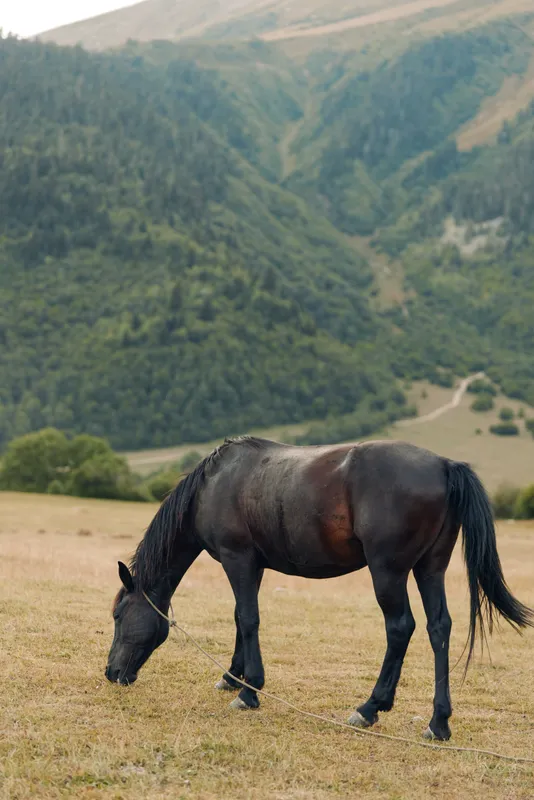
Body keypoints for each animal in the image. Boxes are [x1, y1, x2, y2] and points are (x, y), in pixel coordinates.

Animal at [105, 436, 533, 740]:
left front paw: (249, 691)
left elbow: (248, 618)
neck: (215, 484)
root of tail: (444, 465)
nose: (112, 672)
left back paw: (370, 707)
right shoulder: (252, 565)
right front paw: (232, 678)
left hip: (389, 571)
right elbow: (240, 619)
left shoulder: (237, 558)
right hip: (430, 568)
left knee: (400, 628)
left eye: (118, 616)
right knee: (438, 629)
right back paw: (439, 722)